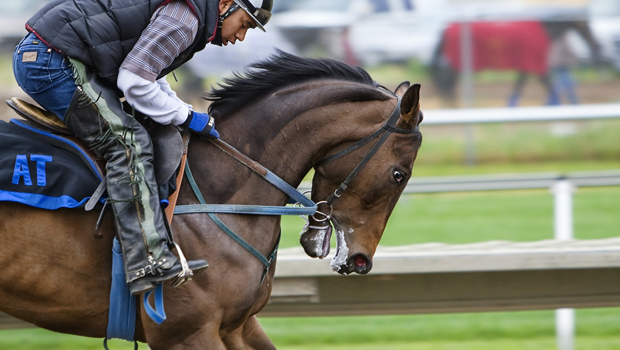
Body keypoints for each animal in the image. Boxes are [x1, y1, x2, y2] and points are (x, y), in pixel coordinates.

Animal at [432, 19, 600, 105]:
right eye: (586, 24)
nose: (596, 45)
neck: (544, 30)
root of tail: (448, 28)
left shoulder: (525, 67)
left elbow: (518, 88)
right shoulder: (536, 66)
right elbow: (551, 88)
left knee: (446, 83)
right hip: (457, 64)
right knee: (446, 82)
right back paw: (450, 104)